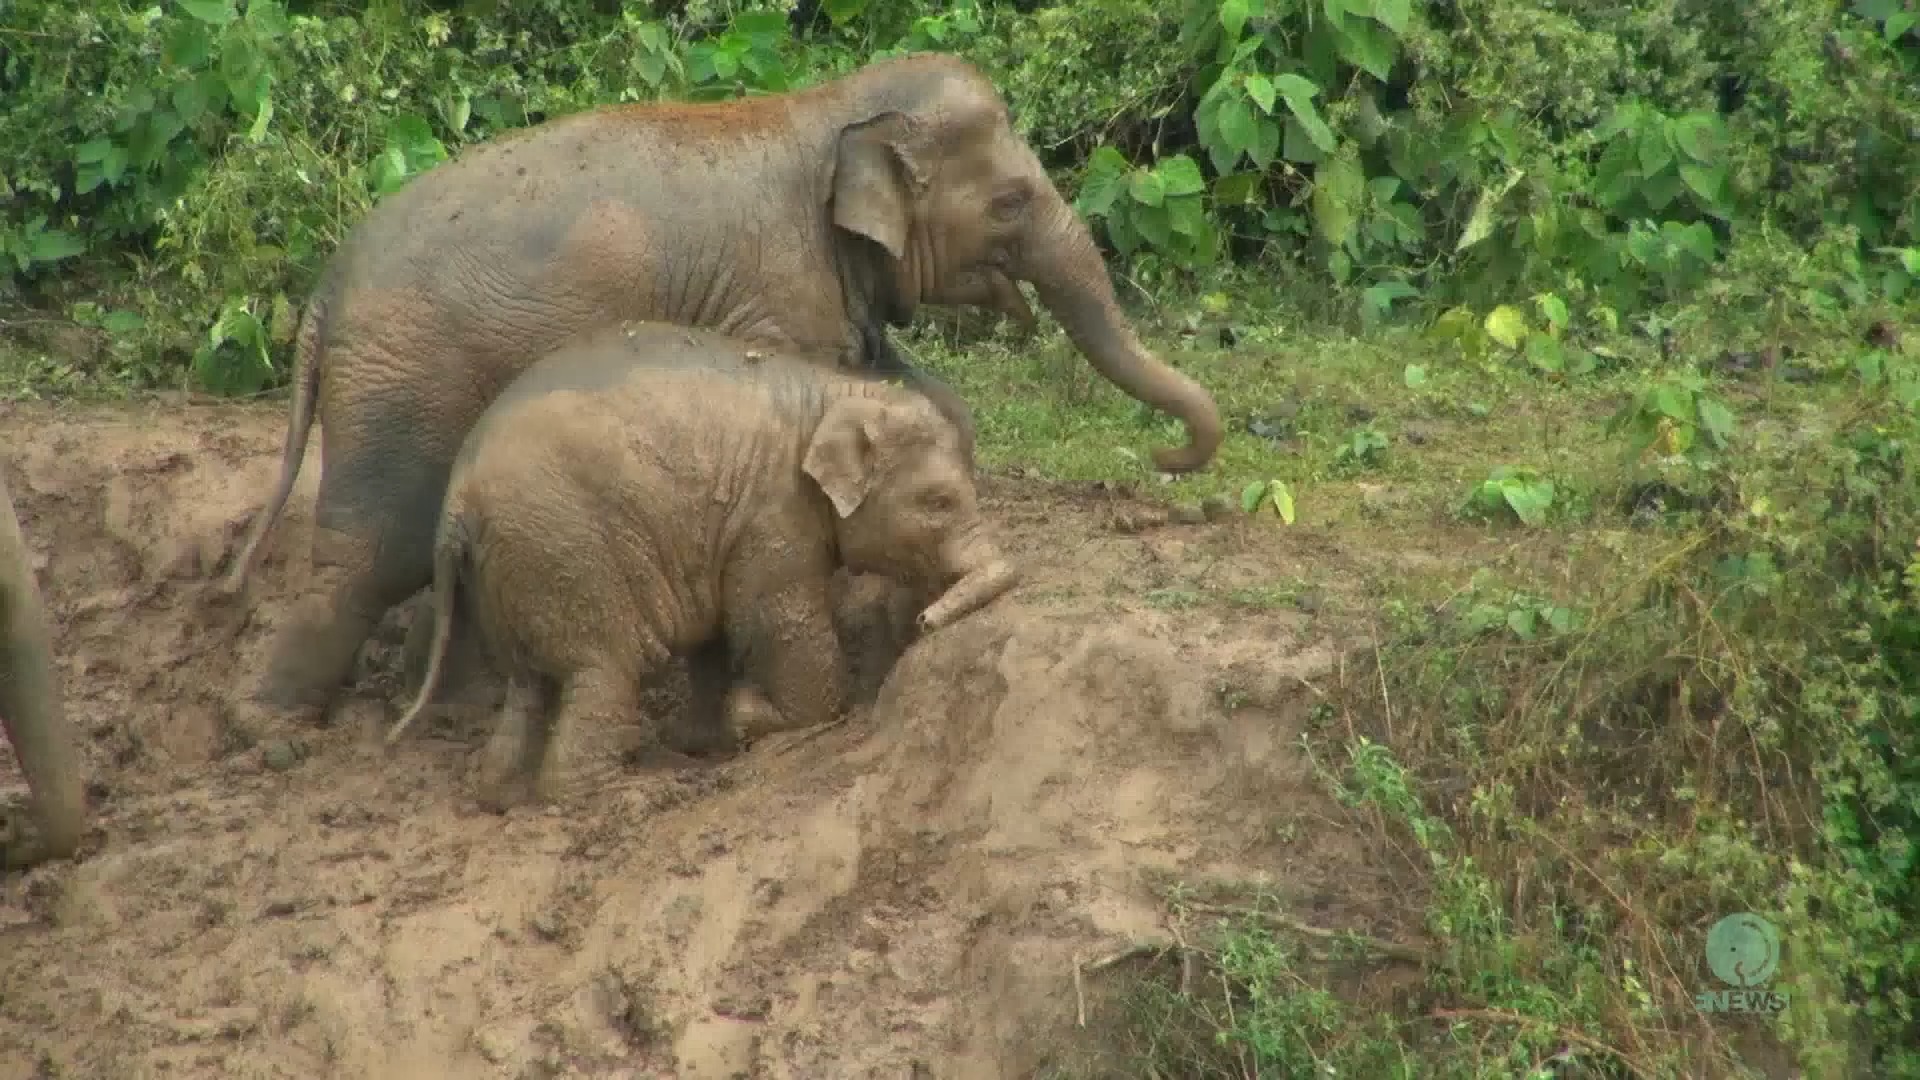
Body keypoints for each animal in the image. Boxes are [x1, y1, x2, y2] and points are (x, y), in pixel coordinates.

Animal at [220, 52, 1213, 722]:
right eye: (1010, 202)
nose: (1166, 459)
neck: (830, 109)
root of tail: (323, 293)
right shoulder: (774, 290)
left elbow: (909, 389)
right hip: (402, 388)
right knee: (369, 556)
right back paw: (272, 728)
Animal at [387, 319, 1021, 807]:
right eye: (939, 501)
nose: (925, 622)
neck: (836, 391)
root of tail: (457, 501)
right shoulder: (774, 515)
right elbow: (777, 622)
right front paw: (748, 716)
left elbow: (714, 635)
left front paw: (702, 738)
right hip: (566, 552)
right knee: (602, 673)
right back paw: (619, 797)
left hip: (509, 571)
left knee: (528, 687)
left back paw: (499, 795)